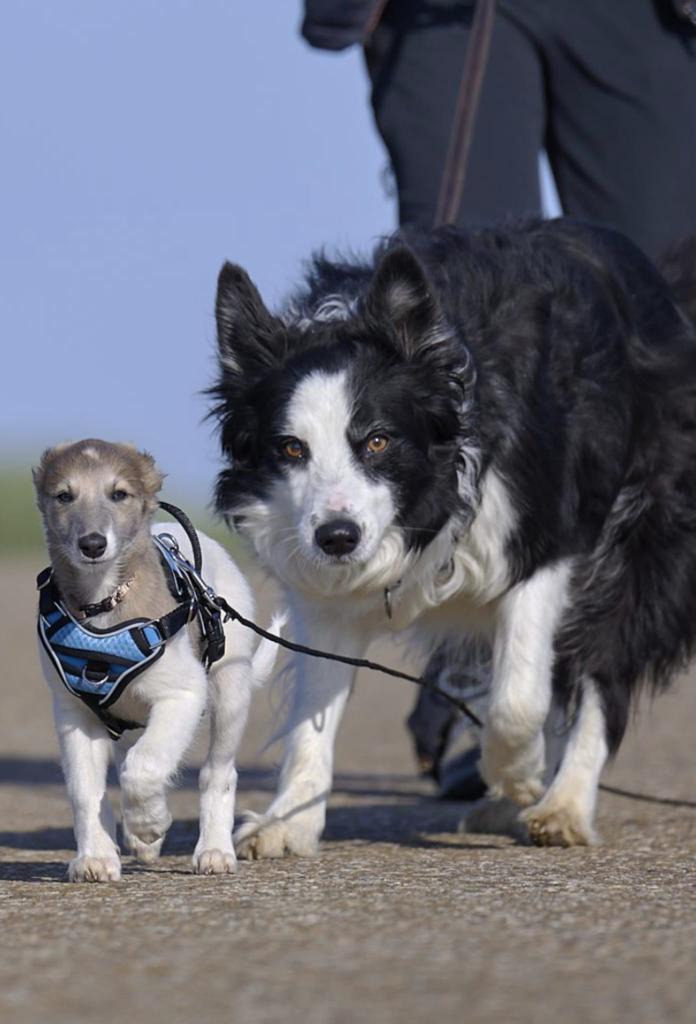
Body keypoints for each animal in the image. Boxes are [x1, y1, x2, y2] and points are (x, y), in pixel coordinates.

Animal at [34, 439, 279, 881]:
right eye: (64, 495)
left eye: (119, 494)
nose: (92, 545)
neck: (104, 604)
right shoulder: (74, 713)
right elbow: (85, 789)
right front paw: (96, 855)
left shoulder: (182, 694)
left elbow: (144, 768)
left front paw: (150, 823)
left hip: (229, 693)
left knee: (217, 773)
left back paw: (213, 849)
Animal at [209, 218, 696, 855]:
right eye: (291, 449)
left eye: (378, 440)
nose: (338, 538)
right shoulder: (325, 590)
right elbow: (315, 711)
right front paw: (288, 822)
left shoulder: (546, 545)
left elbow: (517, 699)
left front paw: (520, 773)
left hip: (638, 535)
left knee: (598, 670)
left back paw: (560, 804)